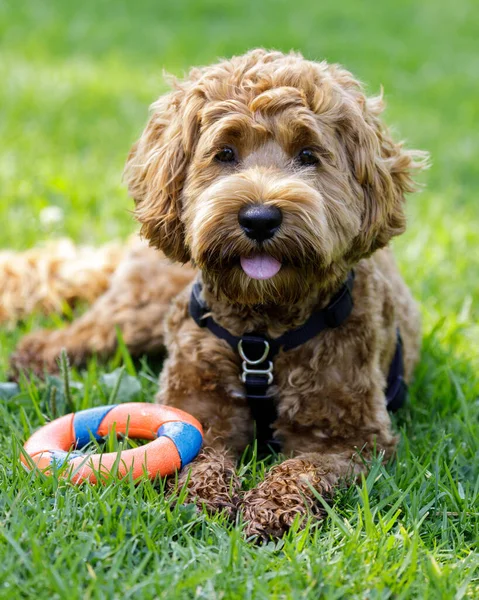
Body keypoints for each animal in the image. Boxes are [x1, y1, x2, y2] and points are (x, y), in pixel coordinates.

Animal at [10, 50, 428, 540]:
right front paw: (203, 498)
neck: (262, 328)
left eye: (308, 155)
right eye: (225, 153)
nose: (260, 218)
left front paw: (271, 507)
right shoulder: (197, 410)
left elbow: (303, 468)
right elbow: (201, 455)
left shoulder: (349, 437)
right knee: (70, 336)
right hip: (137, 312)